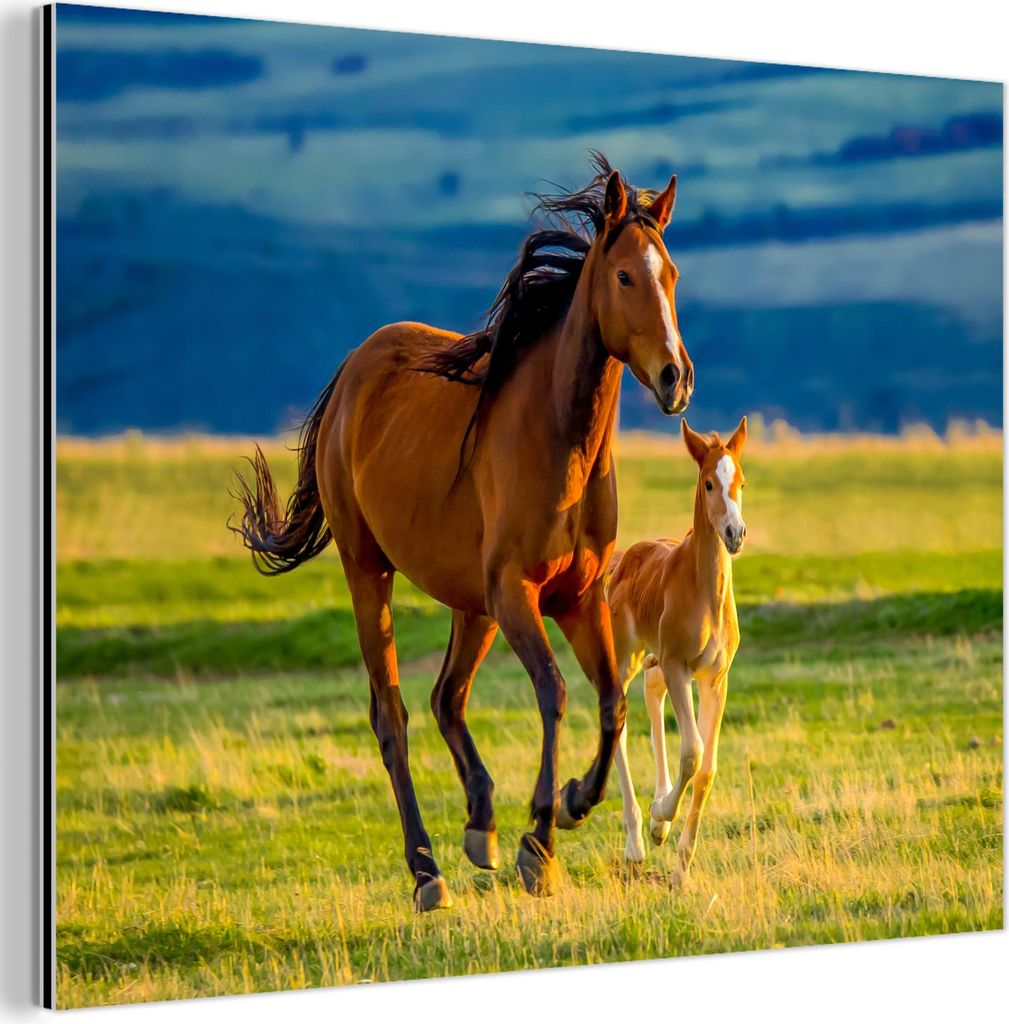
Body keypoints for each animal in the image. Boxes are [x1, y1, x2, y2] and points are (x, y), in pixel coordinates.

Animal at [230, 153, 694, 911]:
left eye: (672, 274)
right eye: (626, 275)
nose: (675, 378)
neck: (556, 439)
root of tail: (354, 370)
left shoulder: (577, 597)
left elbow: (610, 703)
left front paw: (571, 802)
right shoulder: (517, 594)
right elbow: (555, 695)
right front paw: (542, 843)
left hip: (469, 604)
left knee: (446, 697)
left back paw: (480, 827)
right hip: (372, 573)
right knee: (392, 715)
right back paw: (427, 871)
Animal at [606, 416, 747, 876]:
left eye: (741, 481)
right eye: (708, 482)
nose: (735, 534)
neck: (705, 593)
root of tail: (622, 560)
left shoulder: (715, 678)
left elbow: (707, 768)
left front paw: (682, 865)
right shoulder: (679, 666)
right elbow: (693, 751)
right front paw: (661, 814)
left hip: (655, 661)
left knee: (651, 693)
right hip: (627, 657)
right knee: (618, 720)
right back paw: (637, 841)